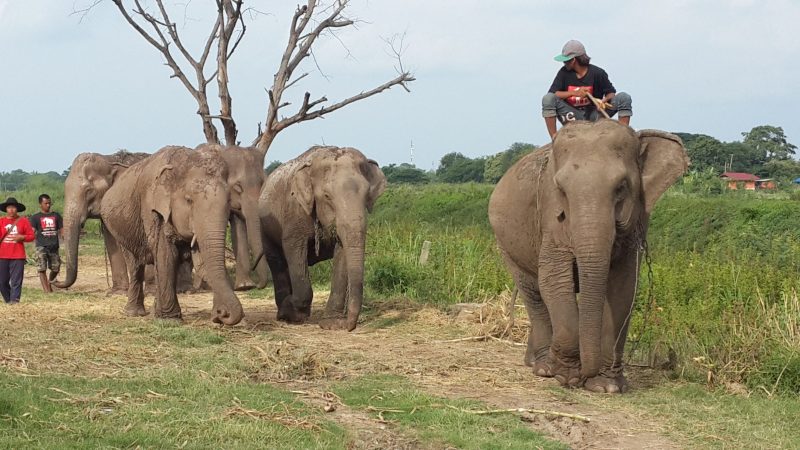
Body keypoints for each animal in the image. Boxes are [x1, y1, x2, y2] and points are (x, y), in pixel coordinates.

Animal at [101, 146, 244, 326]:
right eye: (189, 200)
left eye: (229, 201)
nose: (221, 314)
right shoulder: (153, 209)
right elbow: (167, 254)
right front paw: (170, 320)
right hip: (120, 228)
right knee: (135, 265)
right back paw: (134, 313)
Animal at [253, 146, 384, 332]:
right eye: (327, 196)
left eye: (367, 195)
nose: (348, 326)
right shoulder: (295, 210)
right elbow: (293, 248)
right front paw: (292, 311)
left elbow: (342, 253)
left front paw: (331, 324)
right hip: (264, 225)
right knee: (277, 260)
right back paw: (286, 314)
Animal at [488, 120, 688, 394]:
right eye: (560, 189)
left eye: (621, 187)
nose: (586, 373)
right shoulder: (551, 217)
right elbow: (554, 279)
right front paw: (567, 378)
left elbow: (624, 288)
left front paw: (607, 387)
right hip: (506, 245)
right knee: (533, 292)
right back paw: (543, 368)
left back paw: (535, 363)